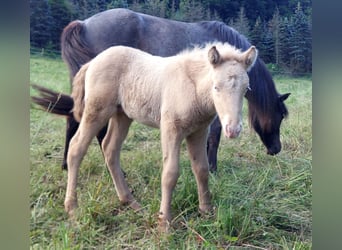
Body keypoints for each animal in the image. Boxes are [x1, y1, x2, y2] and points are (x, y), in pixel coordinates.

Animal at [31, 7, 288, 172]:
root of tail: (83, 24)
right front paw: (212, 168)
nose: (276, 149)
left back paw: (67, 165)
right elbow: (214, 136)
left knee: (73, 121)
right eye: (279, 116)